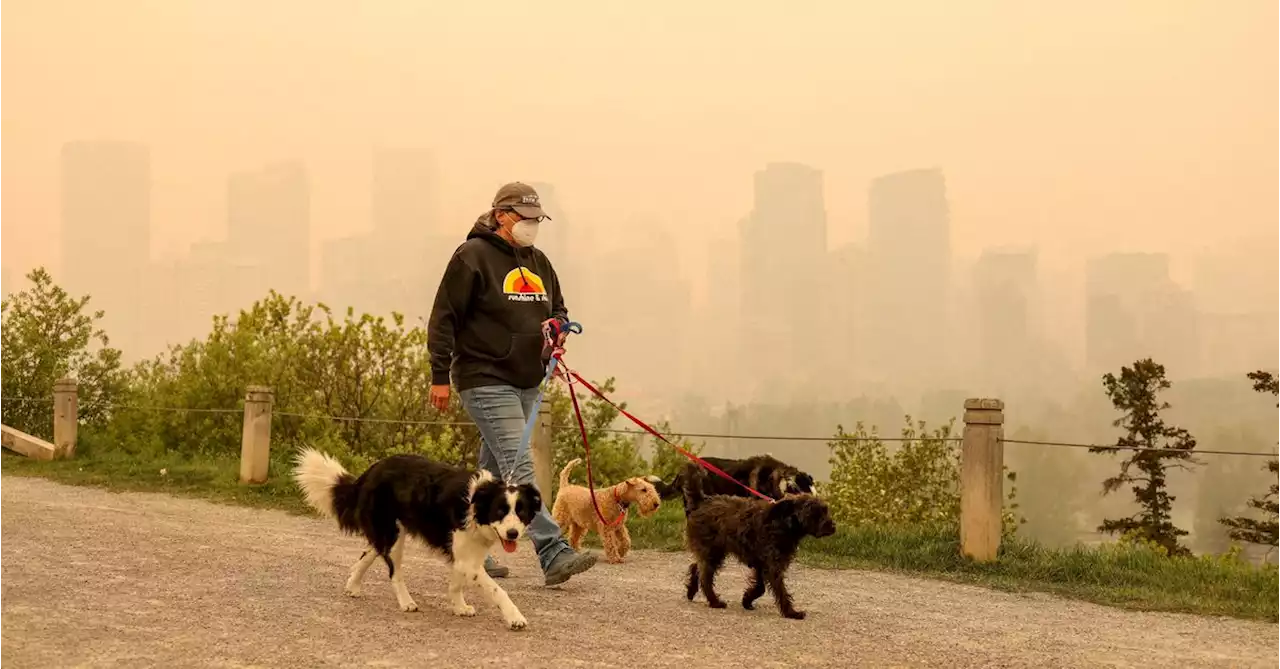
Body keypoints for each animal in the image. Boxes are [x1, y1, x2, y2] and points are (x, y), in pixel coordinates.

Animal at [294, 447, 540, 631]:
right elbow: (497, 590)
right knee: (394, 572)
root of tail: (371, 471)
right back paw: (406, 602)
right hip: (394, 535)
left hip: (386, 531)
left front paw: (459, 607)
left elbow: (457, 583)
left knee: (369, 552)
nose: (513, 534)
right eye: (500, 511)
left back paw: (353, 586)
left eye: (521, 512)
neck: (476, 503)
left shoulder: (467, 555)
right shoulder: (467, 558)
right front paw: (515, 618)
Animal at [680, 468, 839, 621]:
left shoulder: (761, 564)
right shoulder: (772, 565)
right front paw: (791, 612)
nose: (832, 526)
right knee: (705, 577)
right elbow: (779, 590)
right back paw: (714, 602)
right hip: (712, 552)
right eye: (814, 513)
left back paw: (691, 591)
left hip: (714, 552)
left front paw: (747, 600)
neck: (783, 523)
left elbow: (760, 587)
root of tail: (701, 502)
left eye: (826, 510)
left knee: (696, 567)